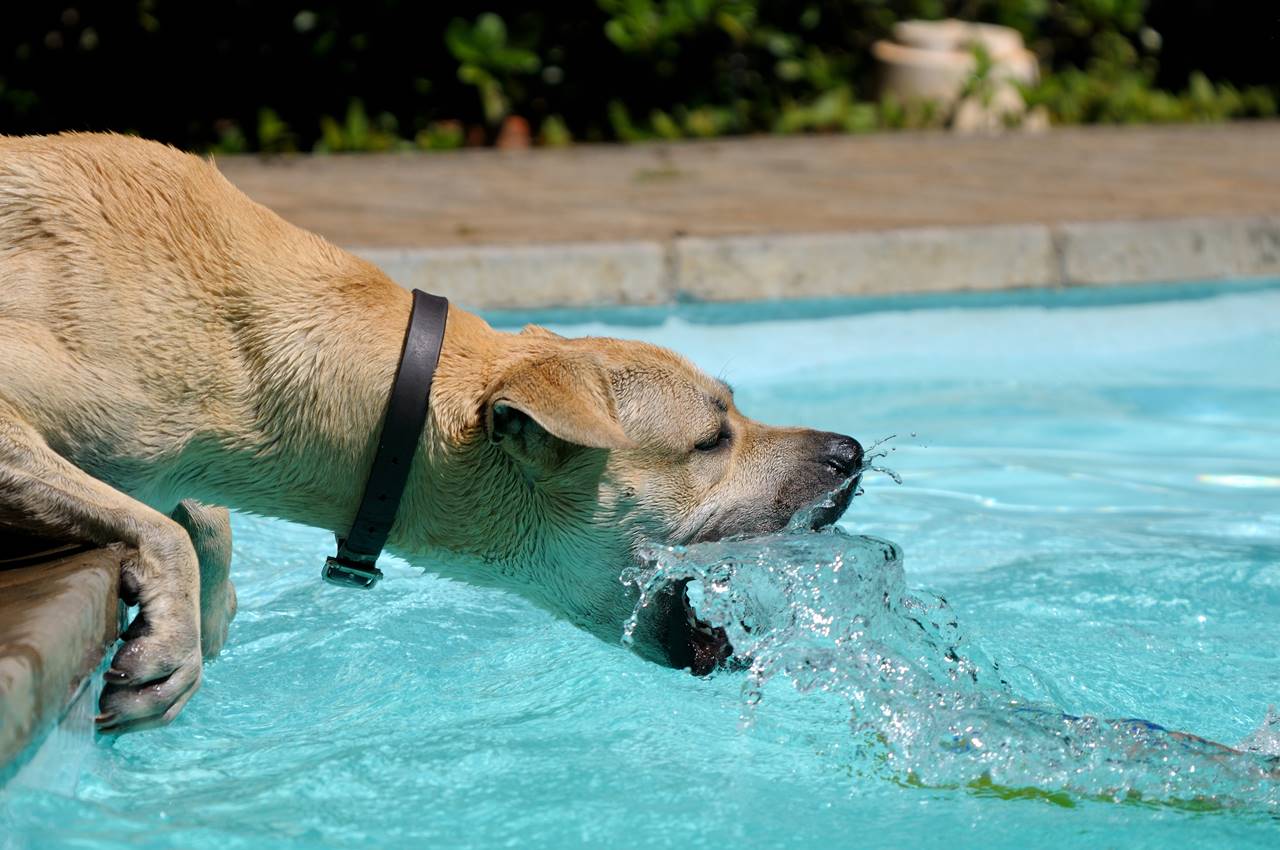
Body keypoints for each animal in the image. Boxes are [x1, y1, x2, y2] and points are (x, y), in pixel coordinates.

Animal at [0, 131, 865, 732]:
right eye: (711, 441)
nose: (850, 454)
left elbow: (202, 522)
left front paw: (205, 612)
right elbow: (170, 528)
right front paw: (172, 642)